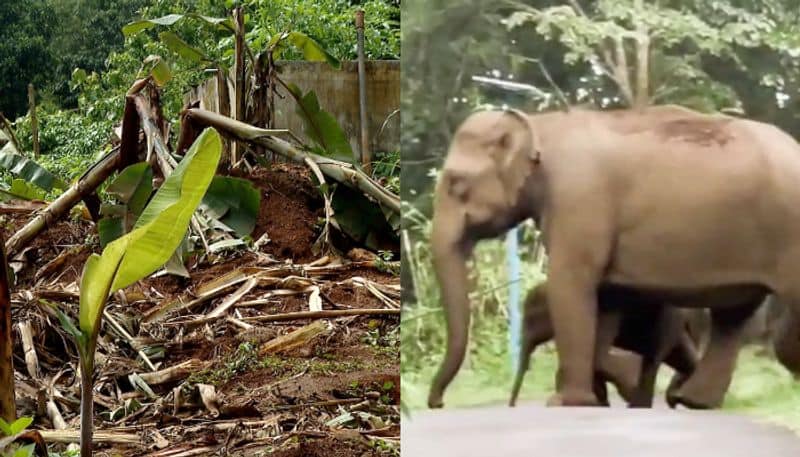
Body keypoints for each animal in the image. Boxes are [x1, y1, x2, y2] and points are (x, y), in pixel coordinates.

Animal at [506, 284, 700, 408]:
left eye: (531, 321)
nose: (512, 406)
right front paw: (596, 402)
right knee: (684, 359)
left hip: (667, 323)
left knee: (655, 359)